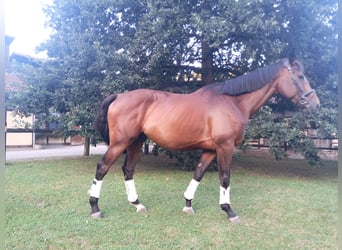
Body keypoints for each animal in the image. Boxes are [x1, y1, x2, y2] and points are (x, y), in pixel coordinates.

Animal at [88, 58, 320, 223]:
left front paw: (188, 204)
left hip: (136, 142)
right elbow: (225, 178)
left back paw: (137, 204)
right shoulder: (225, 147)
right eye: (300, 76)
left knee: (128, 170)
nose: (315, 104)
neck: (234, 102)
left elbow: (198, 174)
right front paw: (229, 211)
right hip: (120, 143)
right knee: (102, 167)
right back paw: (95, 208)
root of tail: (119, 96)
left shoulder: (210, 150)